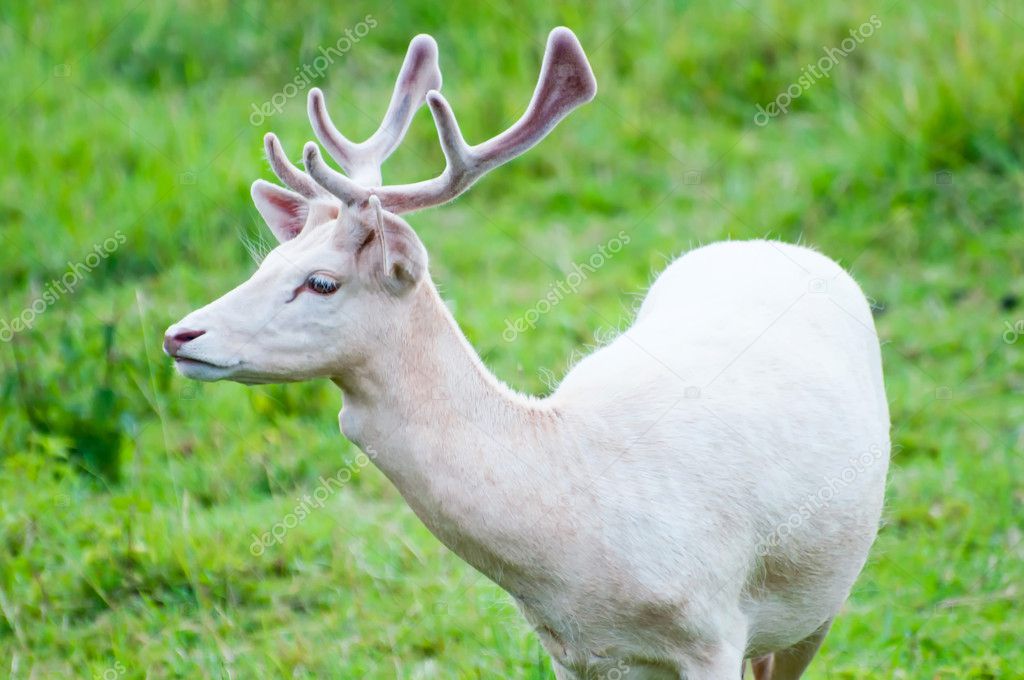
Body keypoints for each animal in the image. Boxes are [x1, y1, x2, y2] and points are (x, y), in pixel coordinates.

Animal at [165, 27, 888, 680]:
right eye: (267, 261)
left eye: (320, 282)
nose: (180, 335)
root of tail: (776, 246)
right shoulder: (573, 652)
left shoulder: (712, 632)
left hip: (821, 598)